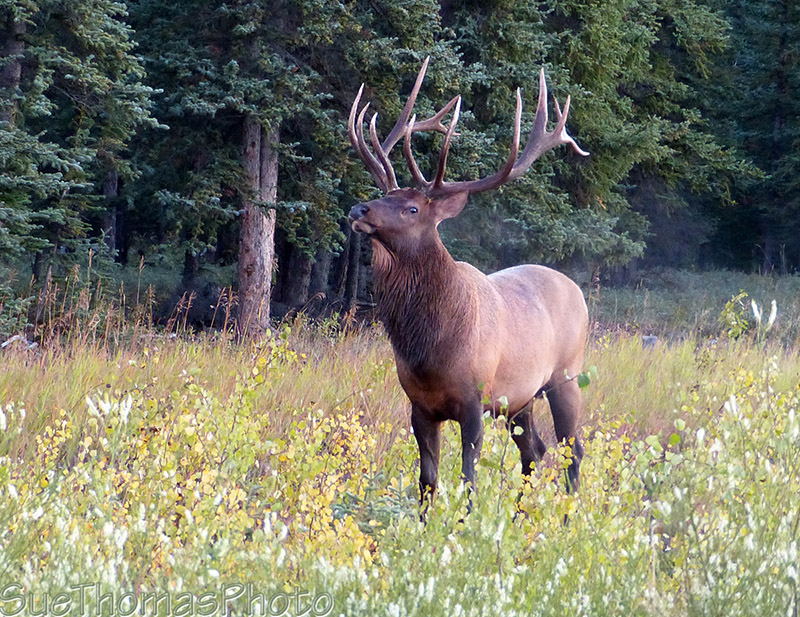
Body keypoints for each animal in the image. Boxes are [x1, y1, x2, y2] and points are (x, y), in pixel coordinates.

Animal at [347, 58, 590, 514]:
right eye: (385, 193)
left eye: (411, 208)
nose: (359, 208)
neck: (429, 347)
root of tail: (577, 290)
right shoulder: (419, 406)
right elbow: (427, 481)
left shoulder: (476, 399)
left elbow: (468, 480)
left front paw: (466, 525)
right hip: (522, 397)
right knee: (536, 449)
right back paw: (520, 517)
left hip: (566, 374)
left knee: (573, 450)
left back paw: (567, 519)